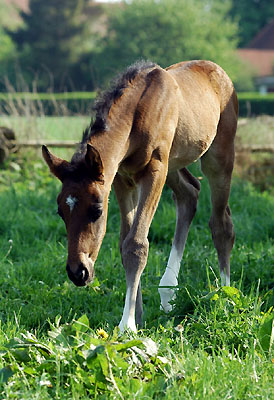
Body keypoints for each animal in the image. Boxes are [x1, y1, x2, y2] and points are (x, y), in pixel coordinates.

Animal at [42, 59, 238, 332]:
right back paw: (168, 292)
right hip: (173, 164)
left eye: (97, 211)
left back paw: (224, 296)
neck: (138, 112)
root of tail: (218, 70)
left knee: (221, 224)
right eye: (61, 212)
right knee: (189, 194)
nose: (77, 272)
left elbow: (136, 244)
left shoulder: (154, 170)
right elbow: (125, 241)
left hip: (216, 157)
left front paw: (128, 325)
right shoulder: (122, 178)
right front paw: (139, 315)